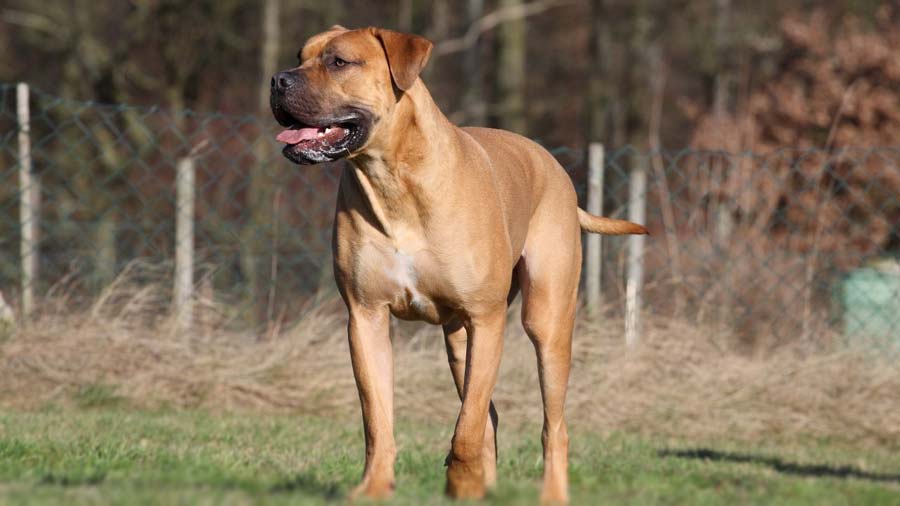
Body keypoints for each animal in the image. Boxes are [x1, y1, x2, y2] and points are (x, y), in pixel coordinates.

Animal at [268, 24, 648, 502]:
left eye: (339, 62)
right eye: (300, 56)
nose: (277, 80)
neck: (393, 178)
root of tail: (554, 165)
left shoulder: (486, 319)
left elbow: (466, 428)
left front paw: (462, 483)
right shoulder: (365, 318)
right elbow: (378, 422)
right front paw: (375, 487)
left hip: (546, 322)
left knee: (550, 425)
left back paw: (549, 493)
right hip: (457, 342)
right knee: (490, 416)